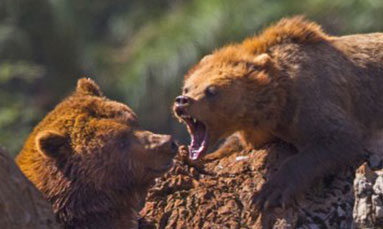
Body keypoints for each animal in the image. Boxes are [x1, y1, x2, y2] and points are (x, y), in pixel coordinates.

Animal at [173, 16, 383, 211]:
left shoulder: (311, 99)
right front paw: (194, 157)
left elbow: (339, 139)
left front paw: (268, 194)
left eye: (211, 90)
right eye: (187, 87)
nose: (182, 101)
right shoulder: (262, 129)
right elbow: (233, 145)